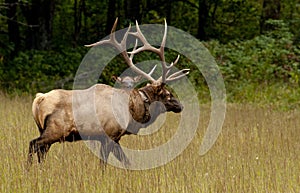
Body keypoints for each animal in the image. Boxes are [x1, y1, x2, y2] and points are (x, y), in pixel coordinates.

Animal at [27, 18, 189, 167]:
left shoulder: (114, 138)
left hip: (44, 130)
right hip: (56, 129)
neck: (131, 112)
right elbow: (104, 163)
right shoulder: (109, 135)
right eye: (166, 94)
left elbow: (126, 162)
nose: (180, 105)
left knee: (41, 151)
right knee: (33, 144)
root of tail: (38, 100)